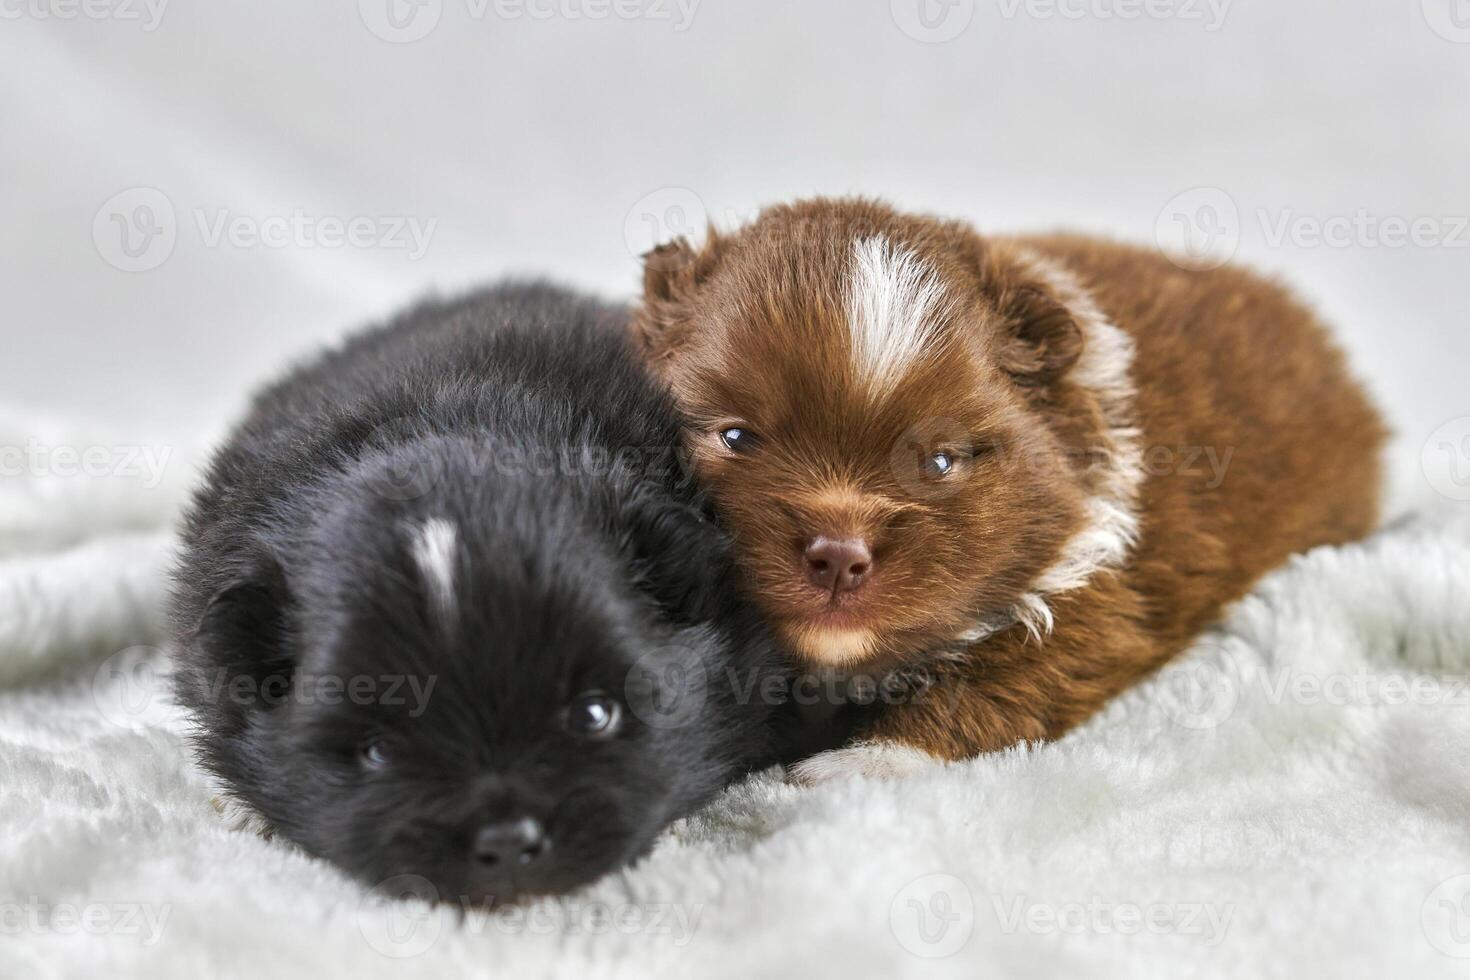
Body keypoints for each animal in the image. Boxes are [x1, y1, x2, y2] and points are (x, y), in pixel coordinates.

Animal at [635, 199, 1387, 781]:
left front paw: (867, 762)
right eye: (736, 437)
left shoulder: (1098, 589)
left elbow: (998, 681)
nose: (839, 557)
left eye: (940, 461)